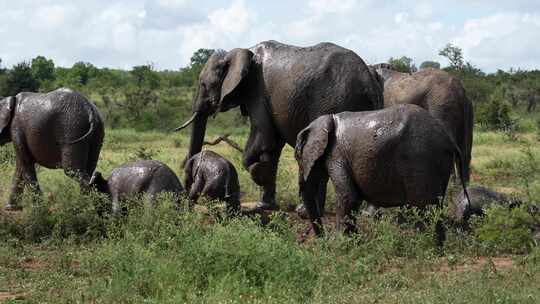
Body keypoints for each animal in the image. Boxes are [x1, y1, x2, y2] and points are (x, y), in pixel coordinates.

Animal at [175, 39, 382, 211]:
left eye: (203, 84)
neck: (239, 52)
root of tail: (368, 80)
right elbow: (273, 145)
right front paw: (264, 206)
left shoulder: (258, 91)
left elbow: (263, 138)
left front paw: (258, 171)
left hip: (334, 101)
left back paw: (305, 212)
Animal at [296, 104, 468, 245]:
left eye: (297, 156)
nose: (320, 238)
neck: (328, 119)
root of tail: (449, 140)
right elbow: (354, 199)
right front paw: (355, 241)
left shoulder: (336, 155)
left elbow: (348, 195)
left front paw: (338, 243)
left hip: (422, 159)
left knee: (423, 207)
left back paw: (425, 245)